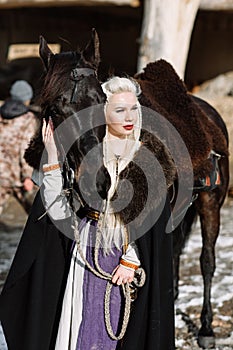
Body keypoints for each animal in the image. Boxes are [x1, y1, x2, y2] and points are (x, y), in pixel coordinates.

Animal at [24, 29, 228, 348]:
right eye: (55, 109)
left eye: (101, 102)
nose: (99, 181)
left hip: (211, 202)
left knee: (207, 261)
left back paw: (206, 329)